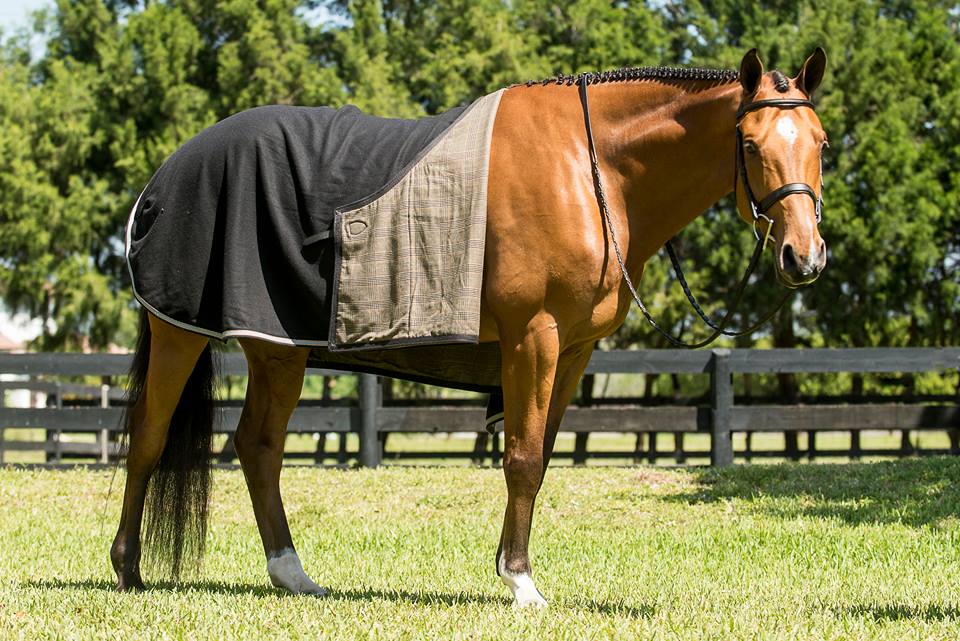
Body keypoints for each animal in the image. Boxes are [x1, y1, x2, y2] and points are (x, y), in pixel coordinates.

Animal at [111, 48, 828, 607]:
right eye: (752, 145)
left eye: (819, 144)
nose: (805, 256)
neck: (590, 168)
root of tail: (165, 177)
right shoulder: (532, 337)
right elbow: (523, 459)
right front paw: (522, 584)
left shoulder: (573, 351)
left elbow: (539, 458)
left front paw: (513, 570)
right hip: (183, 335)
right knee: (148, 438)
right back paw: (128, 568)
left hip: (278, 351)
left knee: (258, 446)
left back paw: (292, 574)